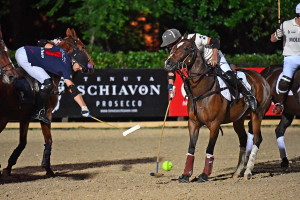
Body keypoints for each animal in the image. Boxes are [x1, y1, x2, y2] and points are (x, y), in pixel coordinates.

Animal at [0, 27, 94, 177]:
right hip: (3, 119)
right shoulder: (47, 113)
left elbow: (22, 143)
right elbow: (48, 139)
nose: (92, 66)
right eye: (83, 47)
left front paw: (8, 168)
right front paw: (48, 169)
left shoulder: (24, 118)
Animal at [164, 33, 272, 182]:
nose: (168, 63)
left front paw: (204, 175)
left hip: (258, 114)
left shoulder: (214, 124)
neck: (202, 89)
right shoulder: (193, 123)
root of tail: (262, 78)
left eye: (186, 48)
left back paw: (248, 172)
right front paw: (186, 175)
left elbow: (209, 149)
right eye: (173, 48)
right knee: (243, 139)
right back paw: (237, 172)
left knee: (257, 139)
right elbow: (191, 148)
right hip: (238, 119)